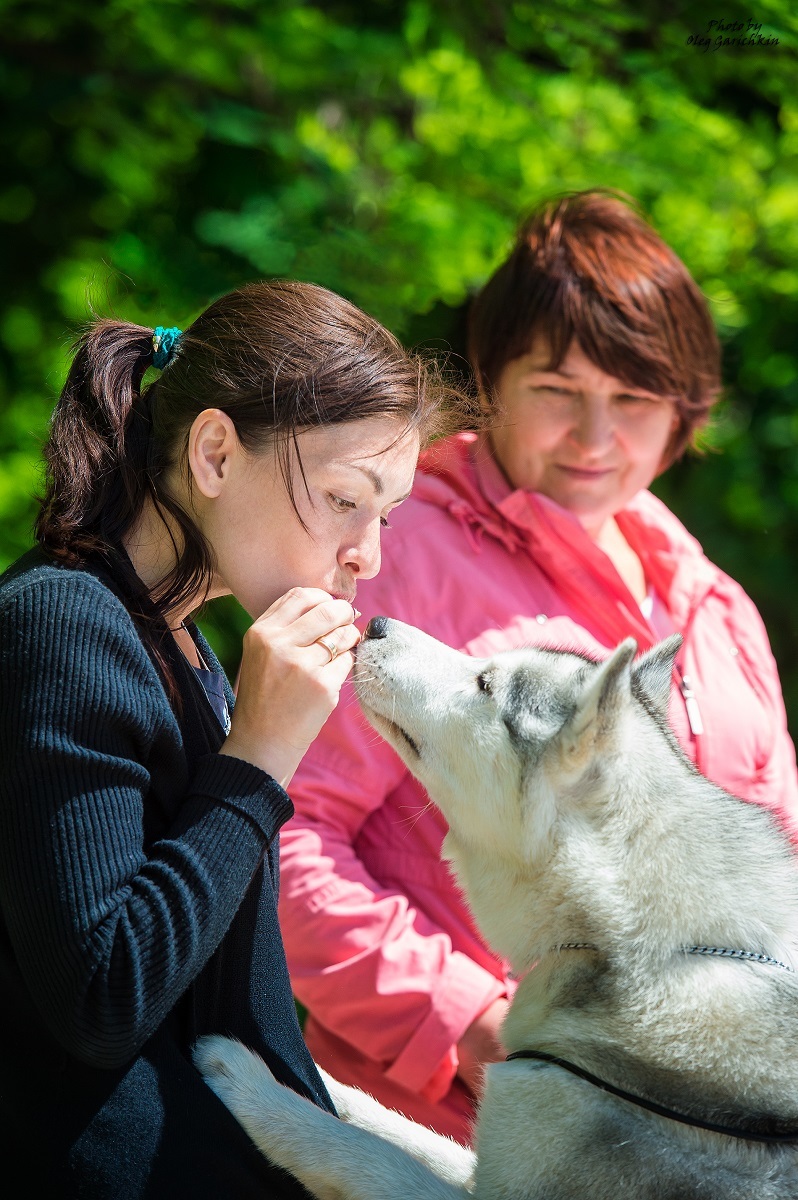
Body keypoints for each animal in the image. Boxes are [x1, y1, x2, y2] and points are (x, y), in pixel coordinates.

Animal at [193, 619, 796, 1200]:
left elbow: (359, 1152)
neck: (644, 949)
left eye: (485, 685)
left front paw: (249, 1083)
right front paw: (311, 1077)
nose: (378, 623)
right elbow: (391, 1126)